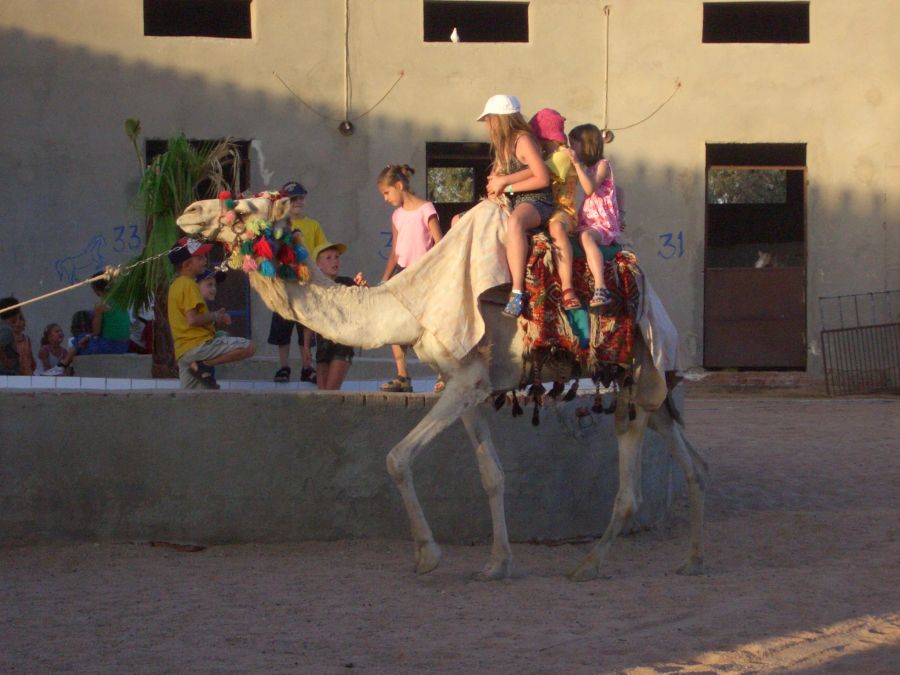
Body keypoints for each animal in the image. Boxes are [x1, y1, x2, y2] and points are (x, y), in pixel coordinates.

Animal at [178, 194, 712, 580]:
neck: (404, 307)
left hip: (635, 374)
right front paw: (497, 564)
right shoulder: (470, 387)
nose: (189, 211)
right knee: (693, 463)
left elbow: (397, 458)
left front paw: (427, 556)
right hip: (652, 386)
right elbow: (492, 475)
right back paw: (691, 561)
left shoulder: (464, 381)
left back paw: (589, 564)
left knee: (631, 488)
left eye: (243, 207)